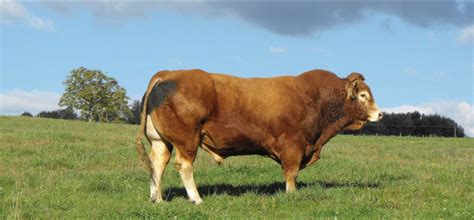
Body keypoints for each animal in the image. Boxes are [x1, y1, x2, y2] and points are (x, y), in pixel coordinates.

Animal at [136, 69, 382, 205]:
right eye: (363, 95)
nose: (380, 114)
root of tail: (169, 74)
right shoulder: (293, 146)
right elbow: (291, 173)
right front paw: (291, 195)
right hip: (187, 140)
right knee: (183, 166)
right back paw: (196, 199)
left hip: (161, 142)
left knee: (157, 165)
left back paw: (157, 199)